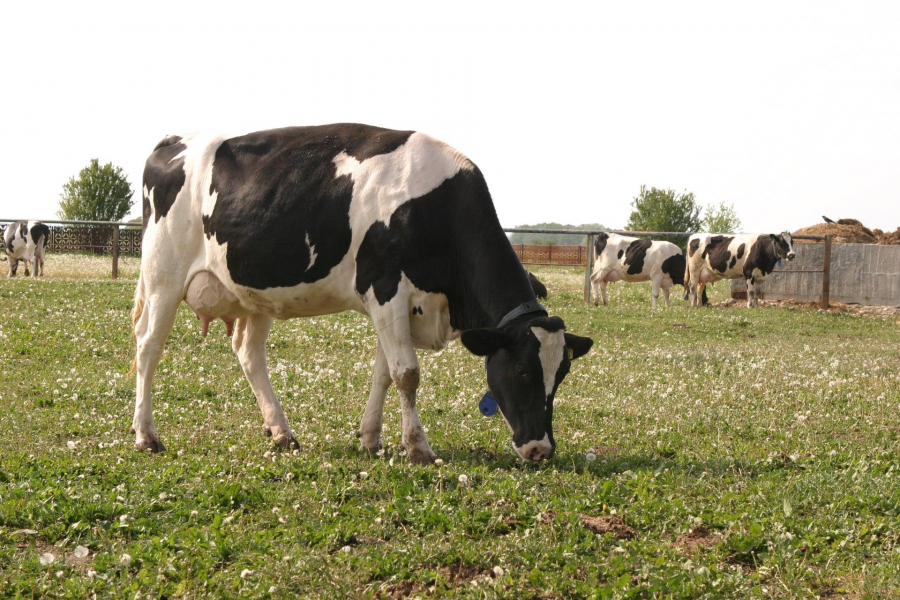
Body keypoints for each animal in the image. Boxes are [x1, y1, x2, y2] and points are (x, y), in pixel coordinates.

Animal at [134, 124, 596, 464]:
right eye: (522, 371)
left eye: (562, 374)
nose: (540, 449)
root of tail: (174, 141)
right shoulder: (385, 287)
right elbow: (407, 373)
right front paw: (418, 448)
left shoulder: (397, 306)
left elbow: (385, 373)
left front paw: (372, 438)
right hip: (163, 276)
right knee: (148, 347)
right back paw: (146, 435)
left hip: (254, 290)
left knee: (248, 354)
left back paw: (282, 432)